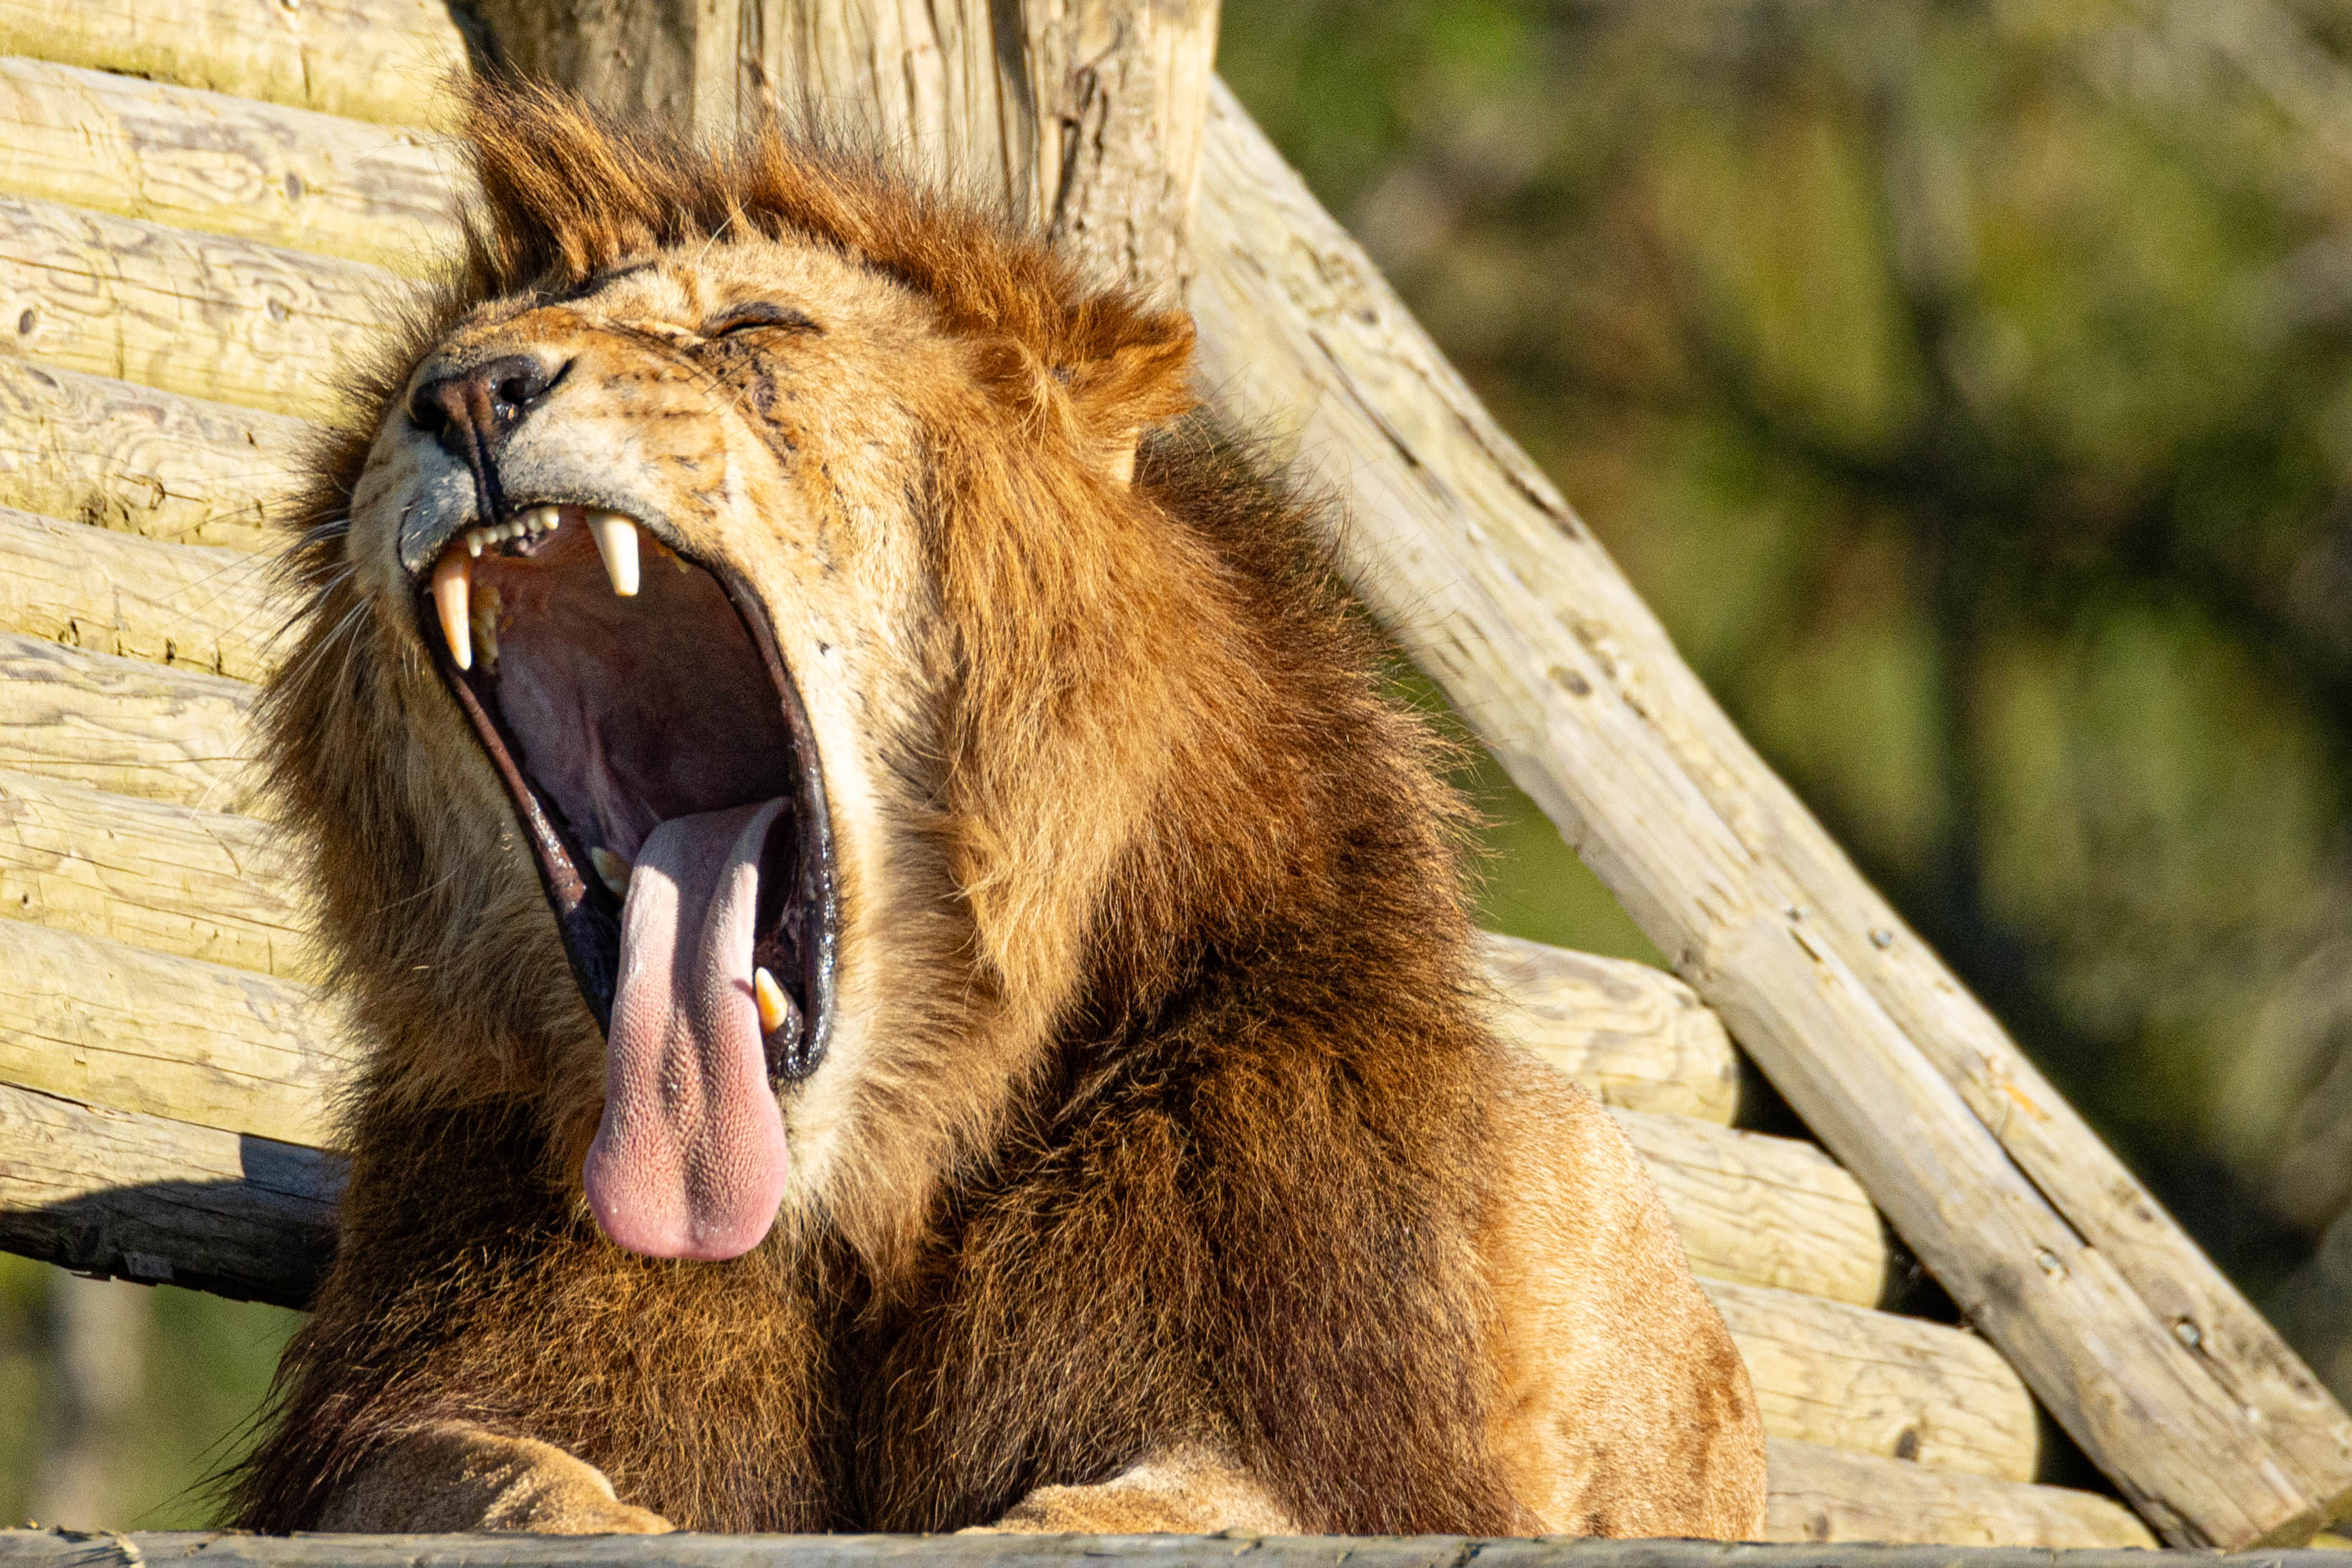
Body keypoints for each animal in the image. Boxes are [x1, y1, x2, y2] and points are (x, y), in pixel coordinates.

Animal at [225, 80, 1766, 1539]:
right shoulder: (440, 1369)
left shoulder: (1298, 1403)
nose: (469, 397)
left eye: (755, 326)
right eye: (420, 380)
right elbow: (468, 1470)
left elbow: (1177, 1504)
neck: (864, 1203)